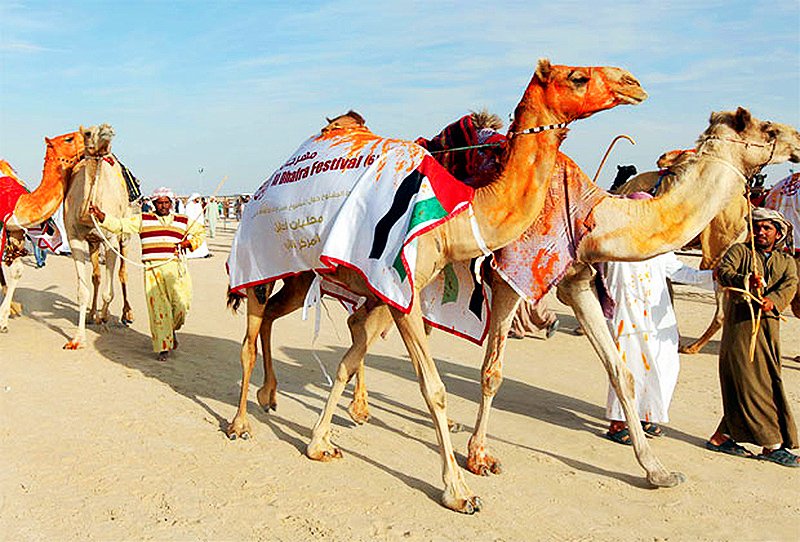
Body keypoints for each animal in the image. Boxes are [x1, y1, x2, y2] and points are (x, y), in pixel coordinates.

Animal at [62, 123, 134, 350]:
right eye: (87, 133)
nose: (108, 129)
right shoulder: (75, 238)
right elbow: (83, 290)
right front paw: (77, 339)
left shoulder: (110, 239)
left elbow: (109, 291)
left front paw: (105, 318)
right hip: (94, 242)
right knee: (97, 277)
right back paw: (93, 314)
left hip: (124, 234)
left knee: (122, 274)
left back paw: (124, 314)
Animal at [462, 107, 800, 488]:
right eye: (768, 129)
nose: (798, 141)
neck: (596, 218)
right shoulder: (510, 277)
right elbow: (492, 371)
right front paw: (478, 457)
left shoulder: (577, 281)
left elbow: (621, 372)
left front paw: (658, 471)